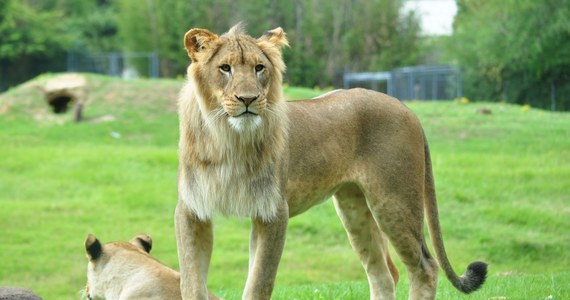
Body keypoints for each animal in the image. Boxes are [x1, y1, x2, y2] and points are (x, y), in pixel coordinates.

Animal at [175, 24, 486, 300]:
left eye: (259, 68)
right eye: (225, 68)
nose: (248, 99)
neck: (229, 140)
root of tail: (406, 107)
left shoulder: (273, 212)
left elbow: (258, 284)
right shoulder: (192, 209)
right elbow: (191, 282)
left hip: (395, 202)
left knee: (425, 267)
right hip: (354, 209)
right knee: (384, 274)